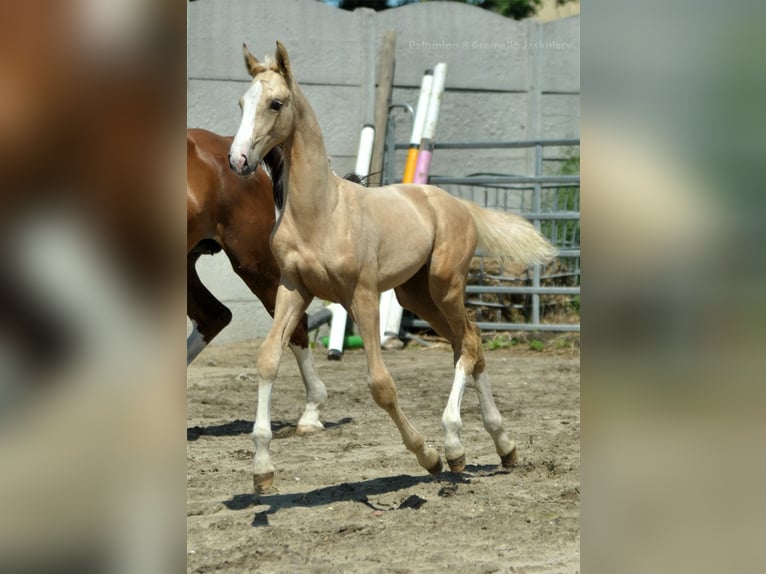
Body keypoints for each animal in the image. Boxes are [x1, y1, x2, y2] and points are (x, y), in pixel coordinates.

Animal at [228, 44, 560, 496]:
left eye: (275, 103)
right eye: (242, 102)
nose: (239, 159)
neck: (322, 213)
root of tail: (459, 204)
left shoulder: (362, 296)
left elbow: (381, 384)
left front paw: (429, 456)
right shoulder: (293, 289)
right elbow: (267, 359)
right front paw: (262, 470)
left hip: (445, 286)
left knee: (468, 345)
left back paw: (455, 446)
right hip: (415, 295)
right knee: (468, 345)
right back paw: (501, 446)